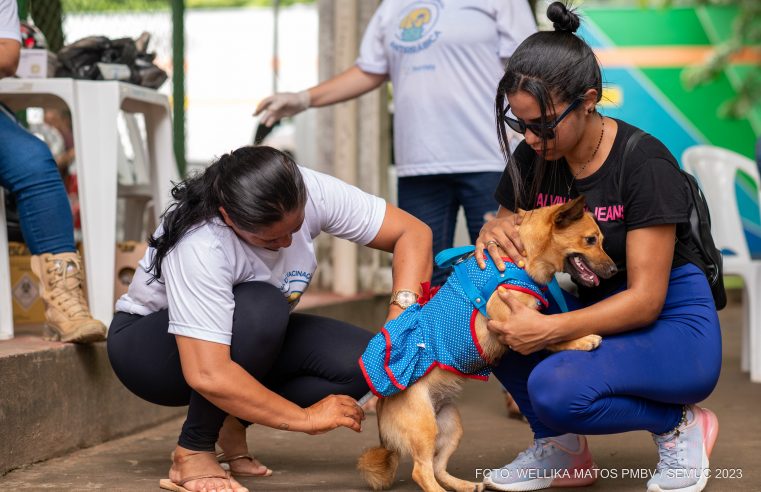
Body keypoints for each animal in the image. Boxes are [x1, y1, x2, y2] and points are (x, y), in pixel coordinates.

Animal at [358, 197, 616, 492]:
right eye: (590, 240)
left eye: (601, 240)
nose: (614, 270)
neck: (521, 258)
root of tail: (380, 408)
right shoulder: (517, 325)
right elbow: (553, 335)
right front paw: (583, 340)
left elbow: (554, 326)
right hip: (424, 428)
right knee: (421, 472)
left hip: (450, 424)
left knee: (437, 466)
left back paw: (463, 485)